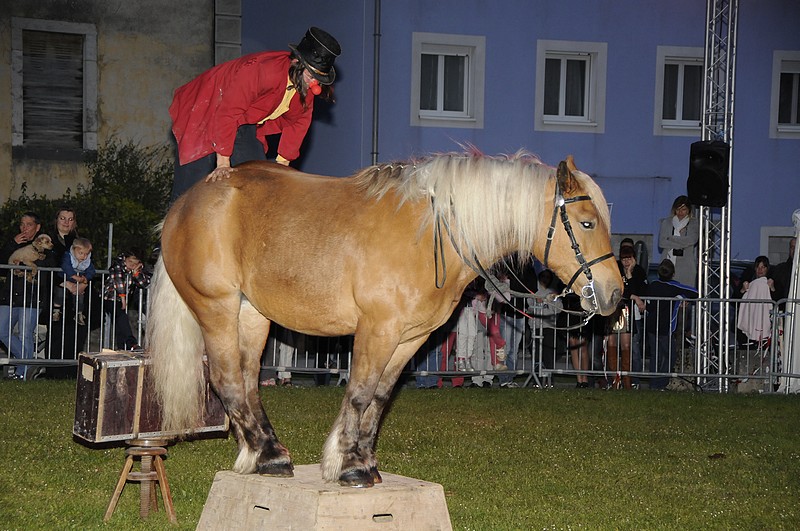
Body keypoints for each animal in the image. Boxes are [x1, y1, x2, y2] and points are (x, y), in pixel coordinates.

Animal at [147, 150, 623, 487]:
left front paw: (363, 459)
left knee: (247, 381)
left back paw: (266, 453)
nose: (615, 293)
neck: (433, 233)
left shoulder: (410, 338)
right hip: (217, 308)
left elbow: (378, 397)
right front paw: (348, 465)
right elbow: (359, 394)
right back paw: (266, 453)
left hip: (253, 315)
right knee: (227, 380)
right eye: (586, 222)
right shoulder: (377, 329)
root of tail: (185, 204)